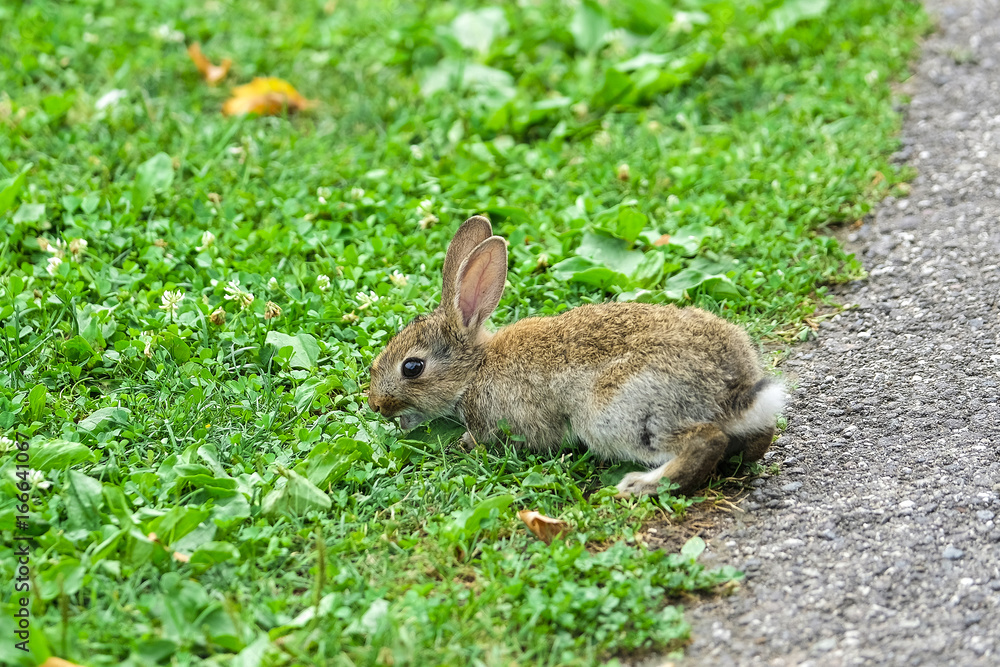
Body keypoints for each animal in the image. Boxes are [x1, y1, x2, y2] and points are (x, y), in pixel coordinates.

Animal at [368, 215, 785, 497]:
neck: (474, 369)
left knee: (704, 441)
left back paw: (641, 485)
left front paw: (465, 444)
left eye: (412, 367)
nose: (375, 404)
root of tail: (735, 392)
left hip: (617, 415)